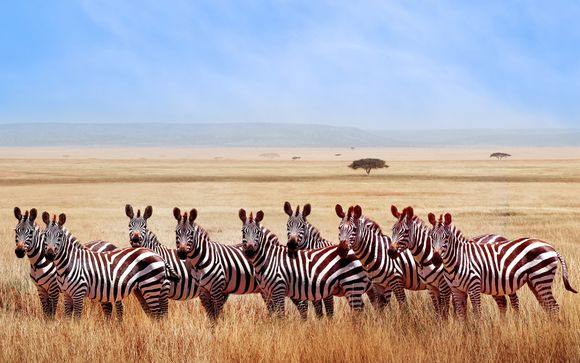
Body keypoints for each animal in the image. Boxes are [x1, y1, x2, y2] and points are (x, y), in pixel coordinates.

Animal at [41, 212, 177, 320]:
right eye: (44, 235)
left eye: (59, 235)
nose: (49, 255)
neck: (69, 262)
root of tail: (158, 255)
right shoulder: (67, 294)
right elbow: (67, 319)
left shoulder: (78, 292)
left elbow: (77, 319)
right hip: (143, 289)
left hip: (151, 286)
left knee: (157, 314)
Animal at [241, 210, 372, 318]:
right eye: (243, 232)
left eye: (257, 232)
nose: (249, 252)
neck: (269, 258)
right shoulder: (268, 292)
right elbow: (274, 313)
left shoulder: (279, 288)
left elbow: (281, 315)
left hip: (352, 284)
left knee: (359, 311)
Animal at [390, 206, 520, 318]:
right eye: (393, 230)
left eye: (406, 231)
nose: (390, 252)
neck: (426, 257)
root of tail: (501, 237)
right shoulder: (431, 287)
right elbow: (438, 310)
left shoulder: (444, 285)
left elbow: (445, 309)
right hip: (494, 284)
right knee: (502, 302)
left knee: (514, 300)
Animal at [426, 212, 576, 318]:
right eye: (431, 236)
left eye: (446, 237)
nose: (436, 259)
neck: (459, 259)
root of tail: (552, 248)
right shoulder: (457, 290)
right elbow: (462, 316)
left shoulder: (474, 286)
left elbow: (477, 314)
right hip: (534, 282)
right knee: (548, 307)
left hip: (541, 277)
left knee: (554, 307)